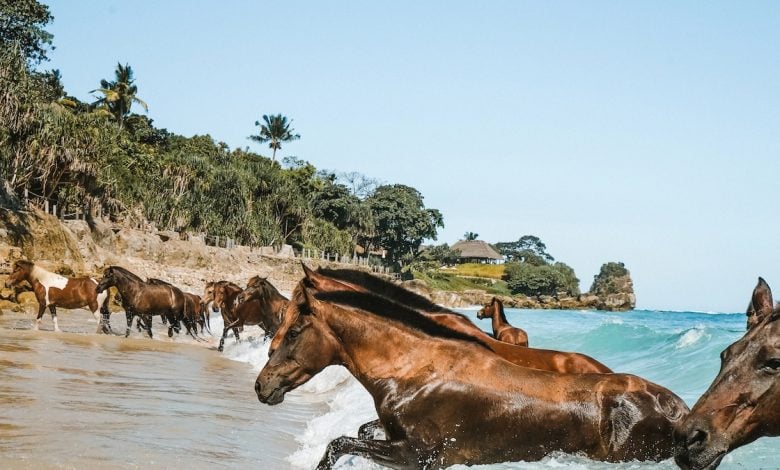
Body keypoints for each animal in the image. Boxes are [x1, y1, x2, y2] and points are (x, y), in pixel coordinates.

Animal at [258, 278, 688, 468]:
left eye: (293, 331)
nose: (262, 386)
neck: (413, 370)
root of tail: (677, 409)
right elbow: (354, 435)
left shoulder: (416, 455)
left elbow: (338, 444)